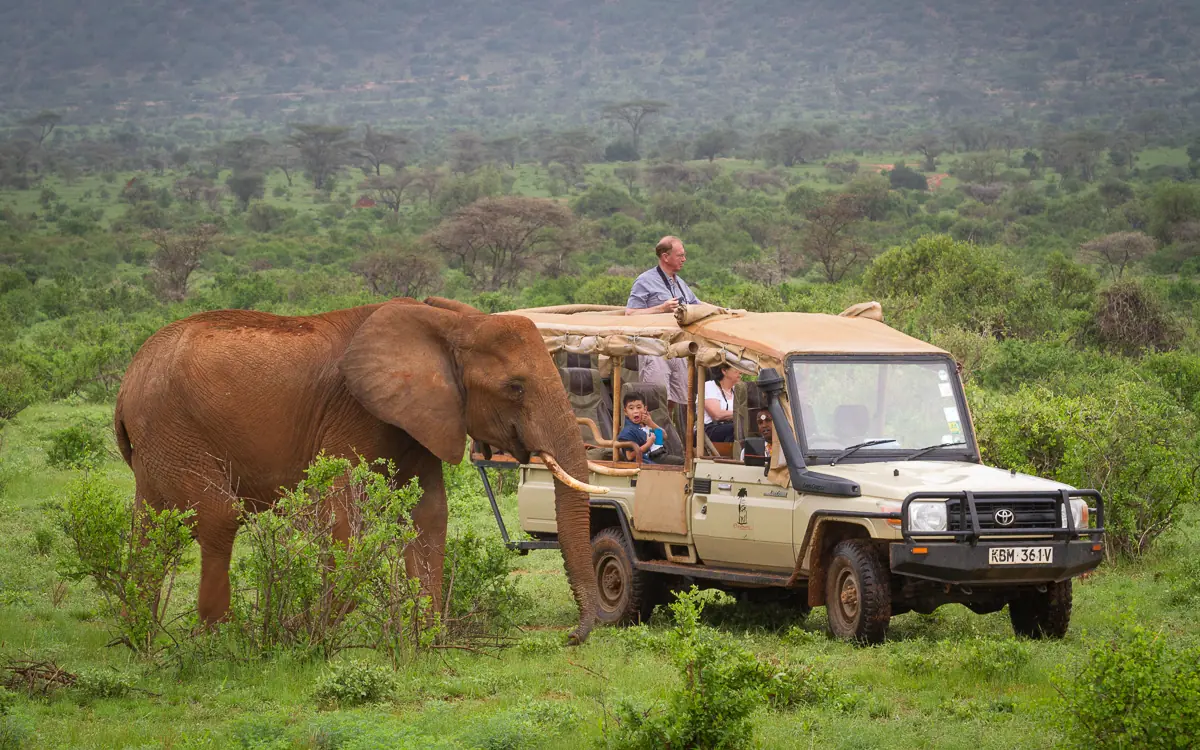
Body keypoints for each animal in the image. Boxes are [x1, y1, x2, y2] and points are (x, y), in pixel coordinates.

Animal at [113, 296, 610, 644]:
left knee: (149, 526)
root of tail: (128, 378)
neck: (449, 324)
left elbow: (430, 514)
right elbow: (343, 514)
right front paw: (306, 631)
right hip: (173, 426)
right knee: (218, 517)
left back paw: (141, 634)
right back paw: (221, 639)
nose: (571, 636)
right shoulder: (355, 412)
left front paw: (426, 636)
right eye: (515, 387)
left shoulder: (420, 418)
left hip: (158, 443)